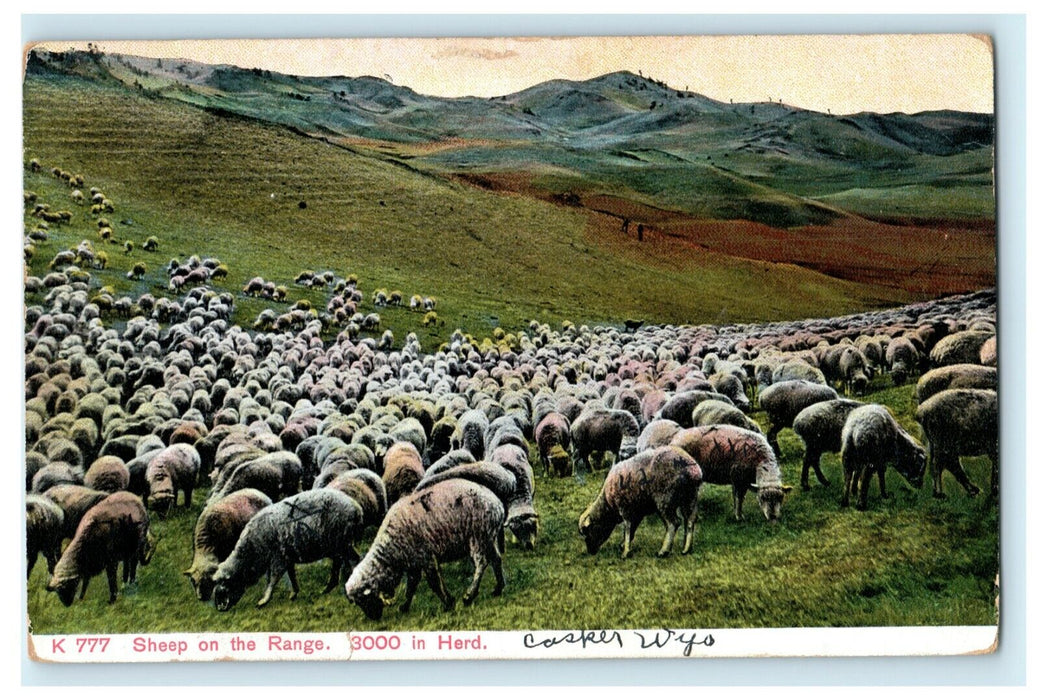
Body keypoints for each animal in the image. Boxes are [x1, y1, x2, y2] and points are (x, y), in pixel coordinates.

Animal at [209, 488, 364, 607]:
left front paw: (264, 600)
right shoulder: (286, 556)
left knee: (353, 560)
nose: (220, 608)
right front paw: (294, 593)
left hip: (341, 542)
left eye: (225, 584)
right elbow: (291, 575)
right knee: (341, 562)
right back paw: (328, 588)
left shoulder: (278, 557)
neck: (252, 549)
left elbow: (273, 579)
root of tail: (356, 508)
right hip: (337, 545)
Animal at [343, 478, 505, 619]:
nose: (374, 618)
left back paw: (469, 595)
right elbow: (412, 586)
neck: (390, 553)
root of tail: (498, 505)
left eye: (363, 599)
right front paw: (405, 606)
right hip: (489, 537)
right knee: (496, 559)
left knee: (481, 563)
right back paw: (498, 588)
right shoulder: (414, 562)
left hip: (478, 535)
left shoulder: (425, 557)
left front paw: (448, 604)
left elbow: (433, 583)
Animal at [578, 447, 707, 557]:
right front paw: (623, 545)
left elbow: (627, 528)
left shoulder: (625, 508)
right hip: (690, 497)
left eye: (588, 531)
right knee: (690, 520)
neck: (608, 506)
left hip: (664, 499)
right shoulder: (638, 512)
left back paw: (663, 551)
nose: (590, 551)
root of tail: (692, 469)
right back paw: (686, 549)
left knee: (674, 523)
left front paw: (625, 552)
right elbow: (632, 529)